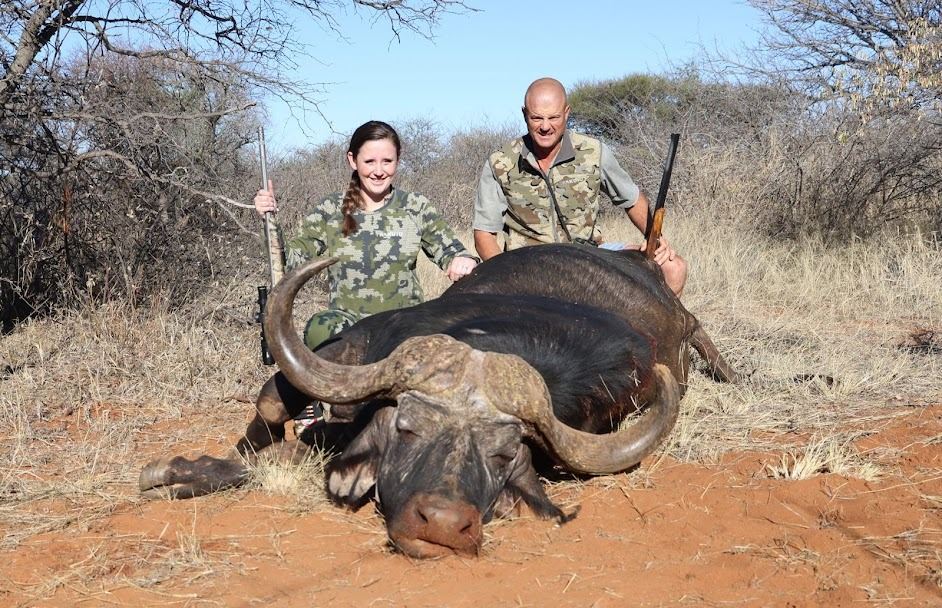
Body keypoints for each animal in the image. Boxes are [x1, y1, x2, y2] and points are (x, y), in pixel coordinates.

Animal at [140, 244, 737, 558]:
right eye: (406, 429)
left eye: (503, 456)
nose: (444, 525)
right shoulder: (345, 354)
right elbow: (269, 412)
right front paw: (178, 471)